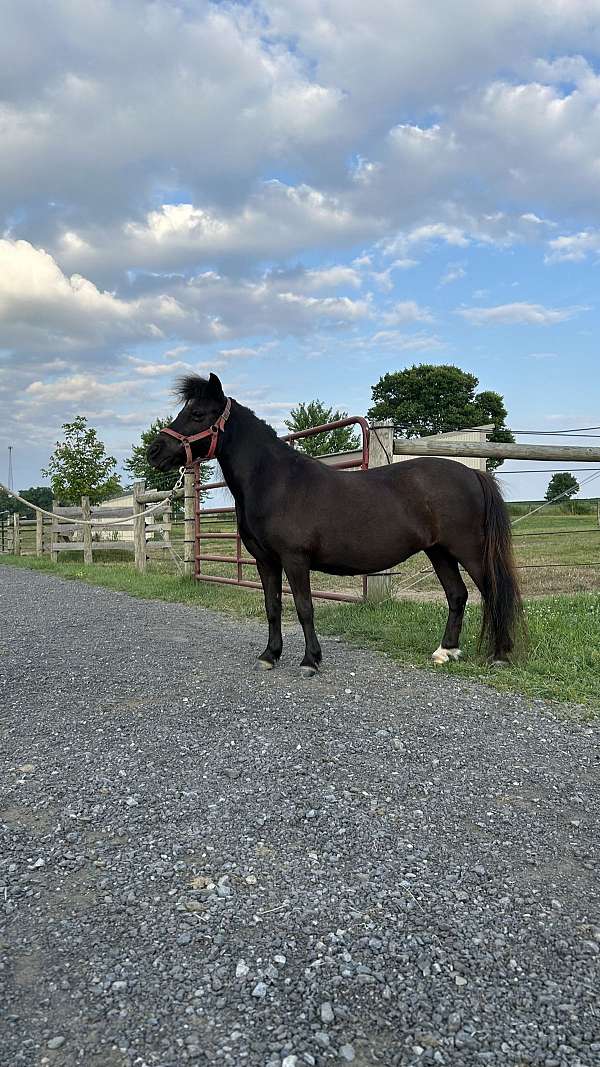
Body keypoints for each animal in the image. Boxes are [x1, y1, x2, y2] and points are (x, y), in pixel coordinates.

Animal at [147, 375, 520, 674]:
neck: (275, 481)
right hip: (439, 552)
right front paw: (270, 655)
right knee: (457, 595)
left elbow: (304, 608)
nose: (154, 451)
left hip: (468, 550)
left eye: (197, 414)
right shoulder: (266, 561)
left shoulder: (295, 560)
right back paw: (446, 651)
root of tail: (472, 473)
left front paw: (310, 661)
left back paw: (500, 656)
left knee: (493, 592)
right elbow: (272, 606)